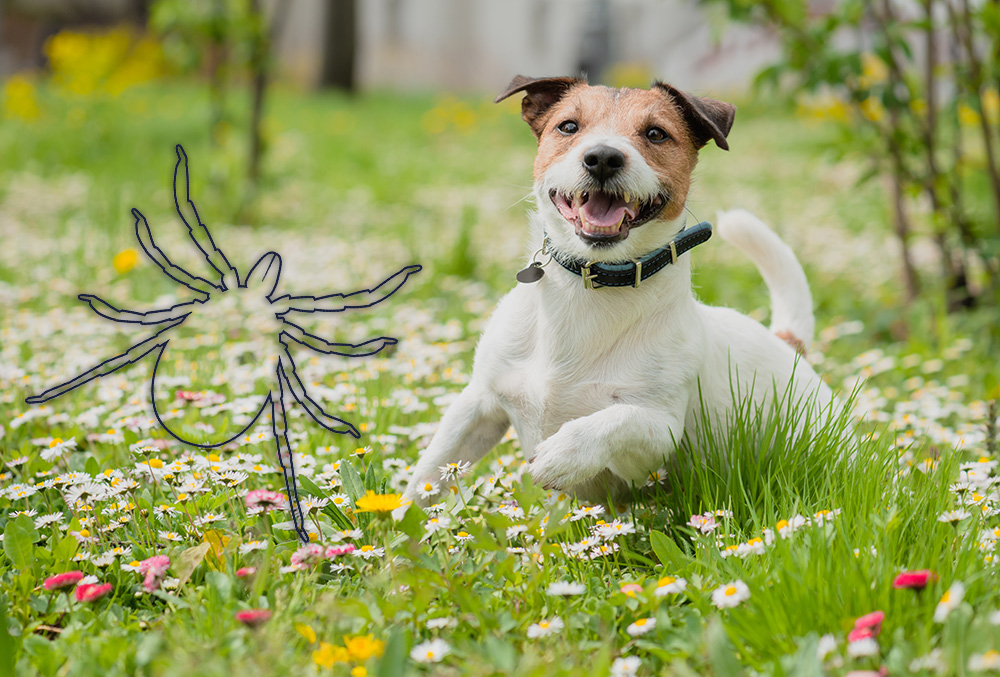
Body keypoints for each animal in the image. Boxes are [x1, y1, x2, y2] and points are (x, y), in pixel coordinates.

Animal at [402, 76, 832, 504]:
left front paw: (565, 453)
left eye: (656, 133)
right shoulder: (478, 406)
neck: (593, 283)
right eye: (568, 126)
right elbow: (425, 478)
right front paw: (402, 520)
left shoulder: (658, 440)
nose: (603, 157)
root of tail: (789, 345)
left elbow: (619, 419)